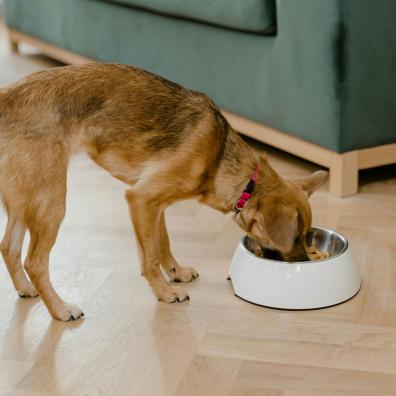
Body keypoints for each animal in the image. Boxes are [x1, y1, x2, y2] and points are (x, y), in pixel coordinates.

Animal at [0, 63, 328, 320]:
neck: (221, 157)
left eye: (306, 236)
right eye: (296, 237)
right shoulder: (142, 199)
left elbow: (161, 244)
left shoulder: (155, 206)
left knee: (9, 247)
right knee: (35, 262)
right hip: (51, 201)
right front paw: (165, 292)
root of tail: (6, 98)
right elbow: (149, 257)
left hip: (23, 203)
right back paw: (60, 310)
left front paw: (176, 273)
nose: (304, 263)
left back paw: (27, 289)